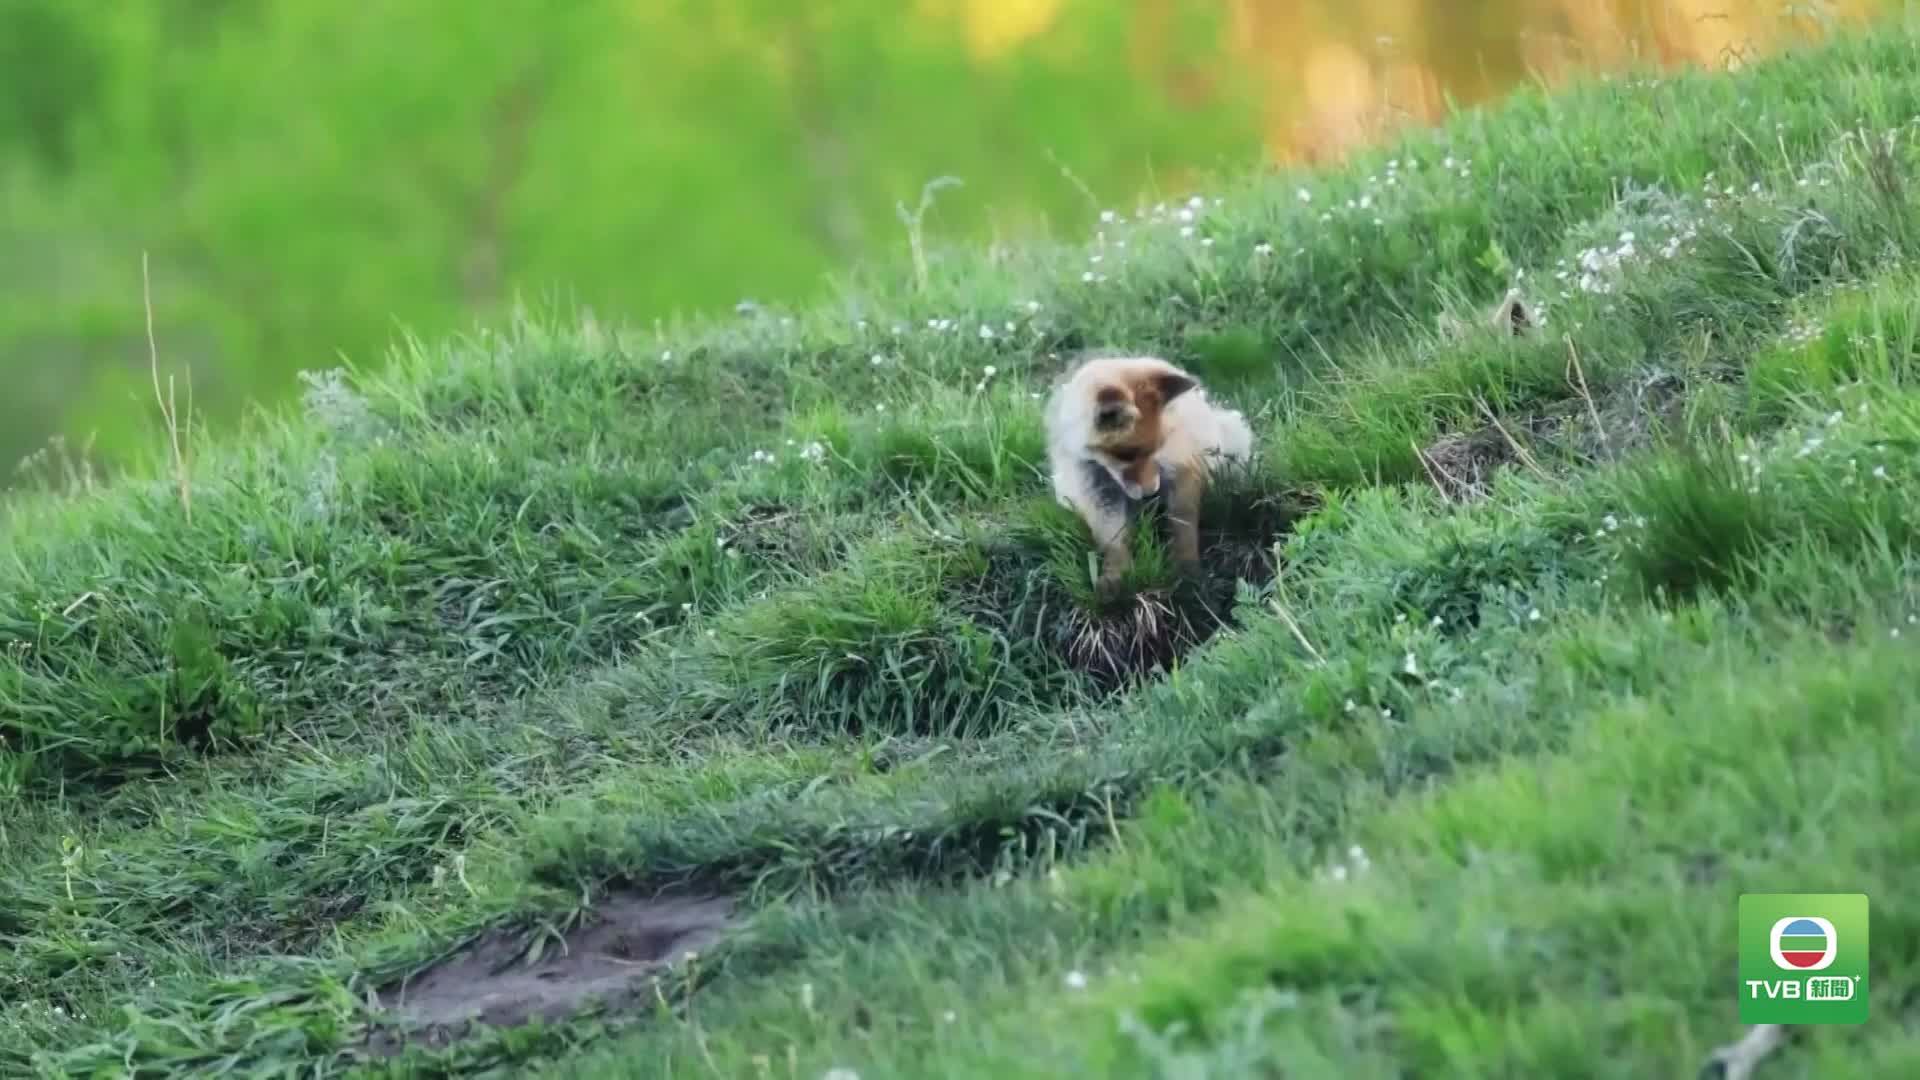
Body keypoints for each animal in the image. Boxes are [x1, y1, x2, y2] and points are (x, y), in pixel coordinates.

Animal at [1044, 355, 1255, 593]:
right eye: (1126, 455)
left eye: (1158, 447)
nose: (1150, 492)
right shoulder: (1097, 490)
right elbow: (1113, 540)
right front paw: (1115, 575)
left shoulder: (1182, 469)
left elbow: (1184, 529)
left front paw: (1188, 571)